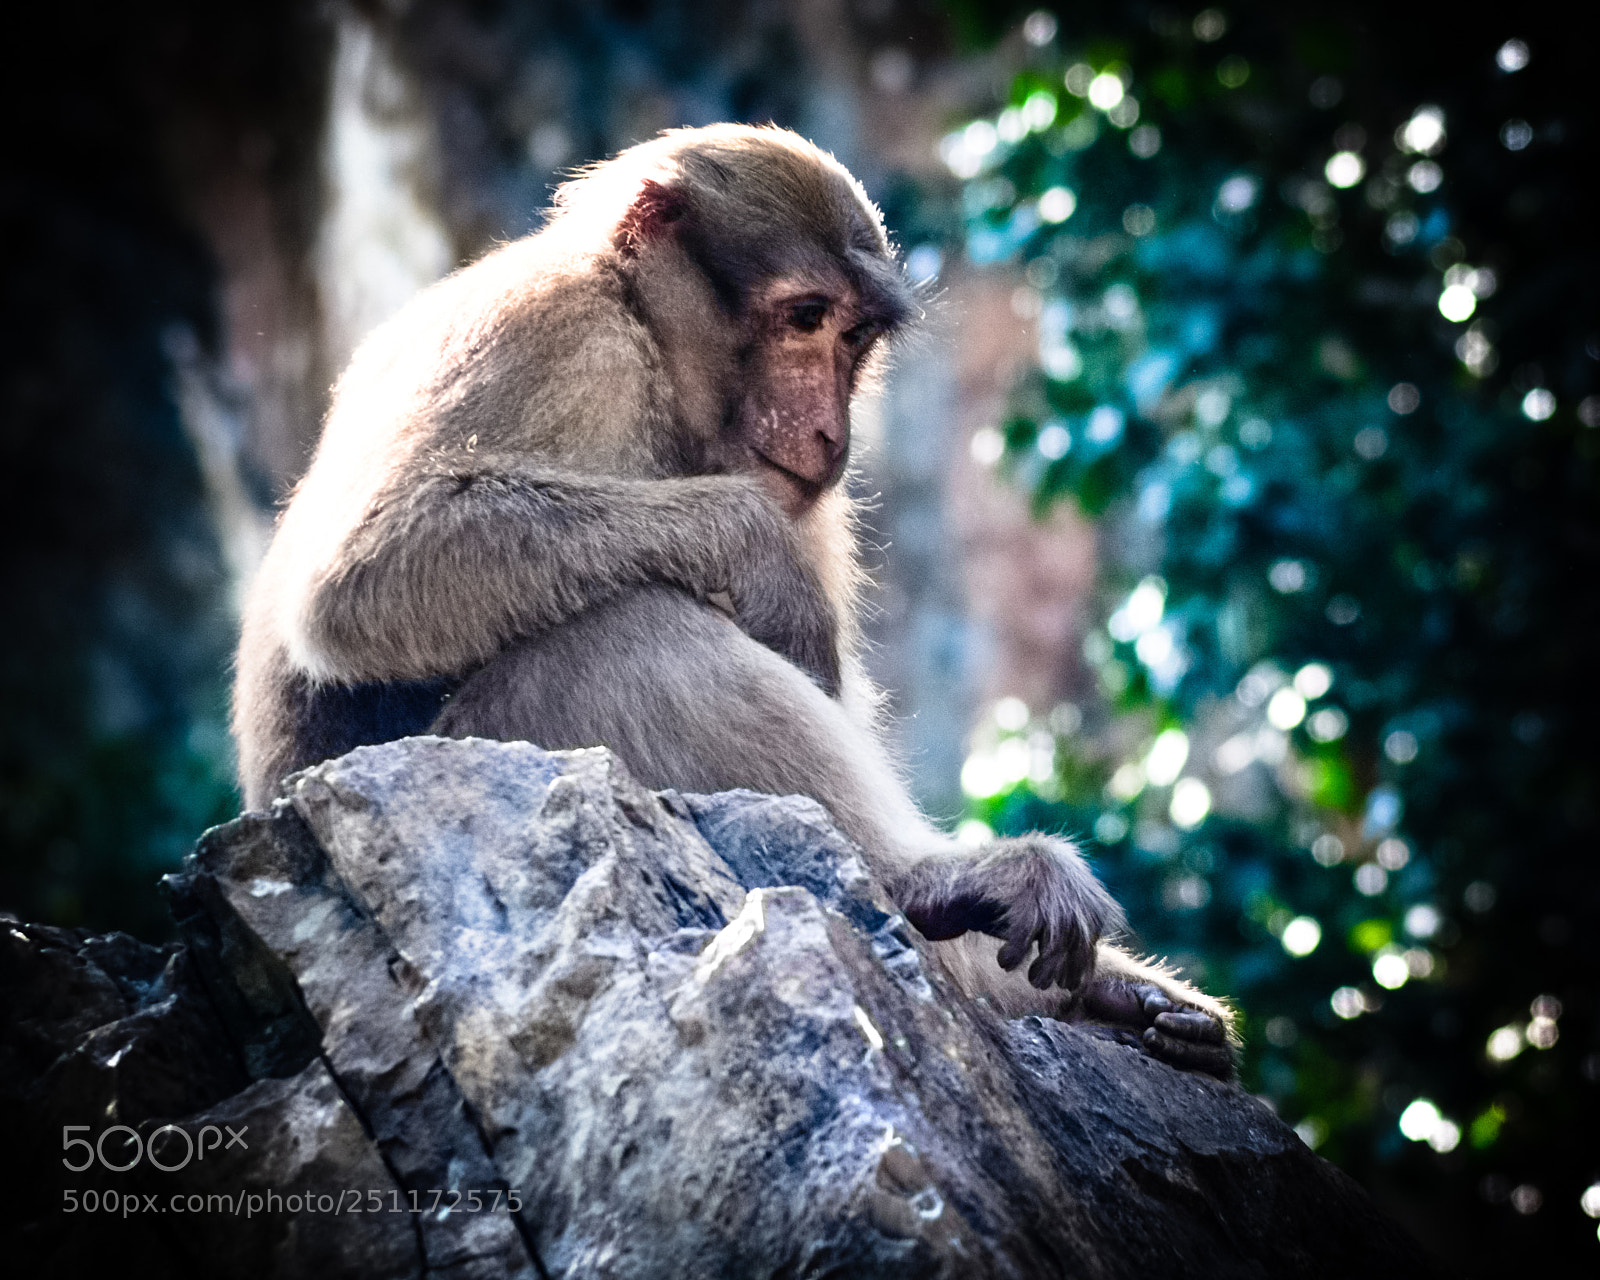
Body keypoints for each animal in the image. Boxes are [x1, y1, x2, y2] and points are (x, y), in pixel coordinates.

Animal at [234, 125, 1234, 1077]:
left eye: (853, 338)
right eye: (805, 317)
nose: (831, 434)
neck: (645, 334)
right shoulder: (552, 329)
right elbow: (365, 572)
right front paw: (761, 556)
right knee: (623, 631)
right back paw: (925, 881)